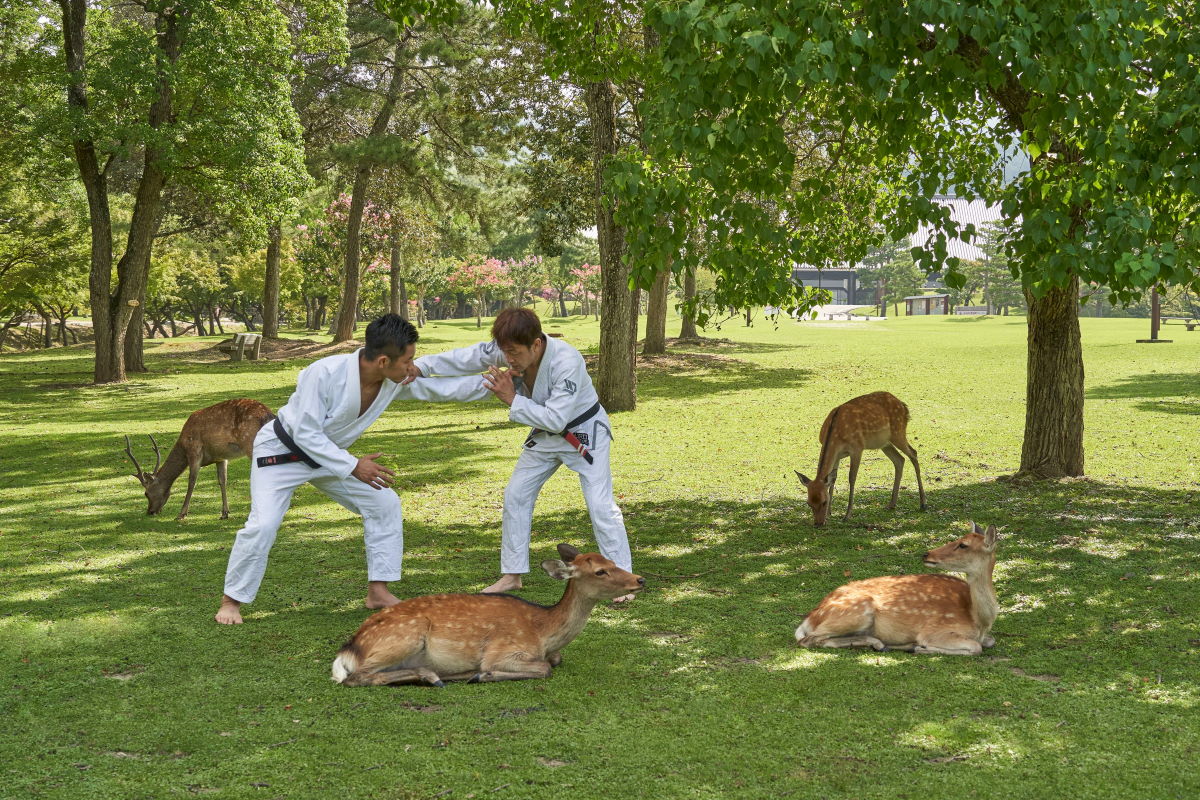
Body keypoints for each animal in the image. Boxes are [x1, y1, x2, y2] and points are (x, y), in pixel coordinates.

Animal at [126, 398, 276, 520]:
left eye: (146, 493)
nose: (150, 511)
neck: (183, 446)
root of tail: (268, 414)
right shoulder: (220, 458)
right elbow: (222, 481)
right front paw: (225, 513)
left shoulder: (194, 451)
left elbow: (191, 482)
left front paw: (181, 514)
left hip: (251, 443)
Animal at [328, 544, 648, 690]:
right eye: (600, 571)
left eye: (612, 561)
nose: (640, 579)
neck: (543, 632)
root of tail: (349, 648)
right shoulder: (504, 650)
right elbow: (545, 667)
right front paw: (483, 674)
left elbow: (555, 660)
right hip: (405, 636)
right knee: (356, 677)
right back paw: (434, 676)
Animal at [796, 393, 926, 527]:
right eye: (809, 503)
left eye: (824, 502)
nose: (818, 523)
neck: (836, 435)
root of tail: (903, 406)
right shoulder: (837, 455)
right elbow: (833, 479)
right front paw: (829, 514)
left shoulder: (857, 448)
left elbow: (852, 478)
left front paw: (847, 515)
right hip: (884, 443)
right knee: (900, 459)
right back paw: (891, 505)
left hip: (898, 432)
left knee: (914, 453)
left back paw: (923, 503)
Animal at [796, 522, 1003, 652]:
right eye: (960, 541)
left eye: (963, 545)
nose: (927, 554)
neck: (979, 620)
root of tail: (812, 617)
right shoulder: (935, 630)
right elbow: (976, 647)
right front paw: (921, 647)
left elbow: (990, 641)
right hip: (857, 612)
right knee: (809, 639)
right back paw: (880, 643)